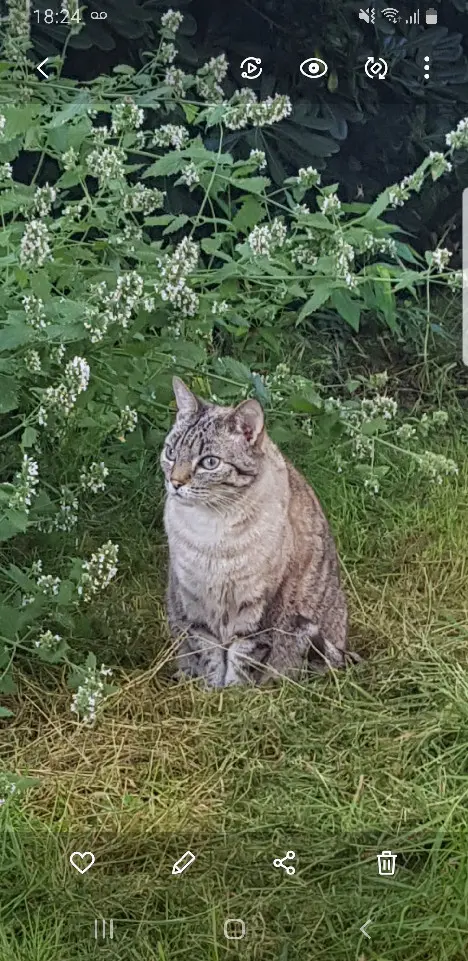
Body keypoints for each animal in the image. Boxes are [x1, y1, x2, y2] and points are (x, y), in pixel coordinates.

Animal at [161, 378, 358, 688]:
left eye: (209, 462)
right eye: (170, 453)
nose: (175, 482)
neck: (211, 529)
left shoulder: (259, 607)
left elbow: (243, 657)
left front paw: (234, 692)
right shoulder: (193, 603)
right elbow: (208, 654)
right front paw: (210, 691)